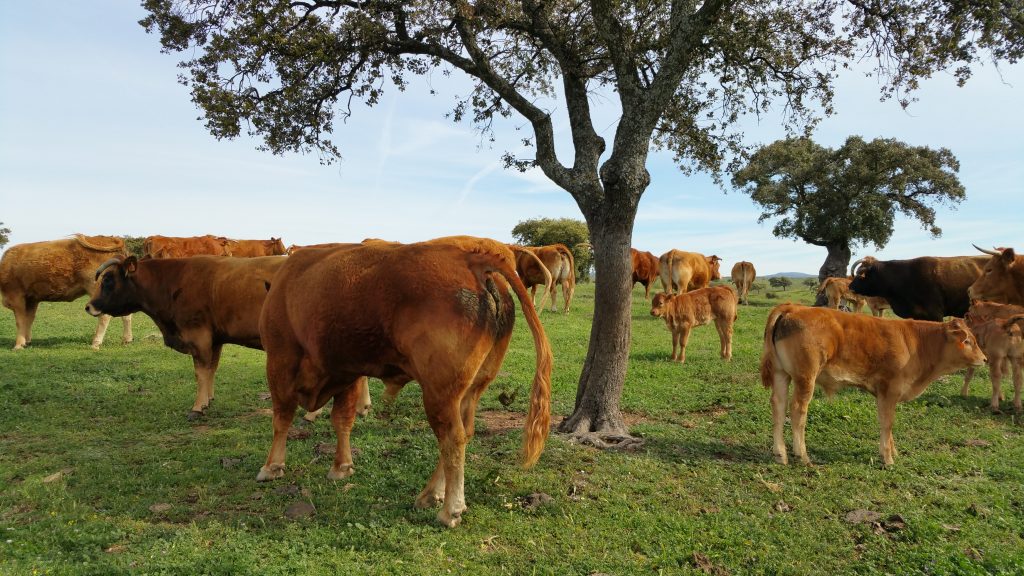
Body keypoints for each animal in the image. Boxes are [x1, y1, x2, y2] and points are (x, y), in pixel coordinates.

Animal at [0, 233, 134, 350]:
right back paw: (126, 340)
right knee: (126, 315)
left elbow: (20, 320)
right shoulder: (32, 298)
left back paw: (95, 343)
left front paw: (18, 345)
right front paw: (26, 341)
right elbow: (29, 318)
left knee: (104, 316)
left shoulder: (16, 296)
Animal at [260, 235, 557, 528]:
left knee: (452, 438)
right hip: (471, 389)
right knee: (465, 432)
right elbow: (342, 420)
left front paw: (271, 466)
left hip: (439, 393)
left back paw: (450, 509)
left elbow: (281, 418)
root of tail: (473, 257)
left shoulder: (280, 362)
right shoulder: (348, 373)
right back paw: (431, 494)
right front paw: (341, 467)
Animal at [761, 303, 983, 463]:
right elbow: (887, 422)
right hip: (806, 377)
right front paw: (887, 458)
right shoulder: (890, 390)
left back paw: (780, 454)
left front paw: (893, 451)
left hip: (782, 374)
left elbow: (888, 423)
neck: (916, 344)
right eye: (967, 341)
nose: (984, 358)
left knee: (778, 406)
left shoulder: (884, 394)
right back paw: (802, 455)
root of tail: (793, 307)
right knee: (798, 409)